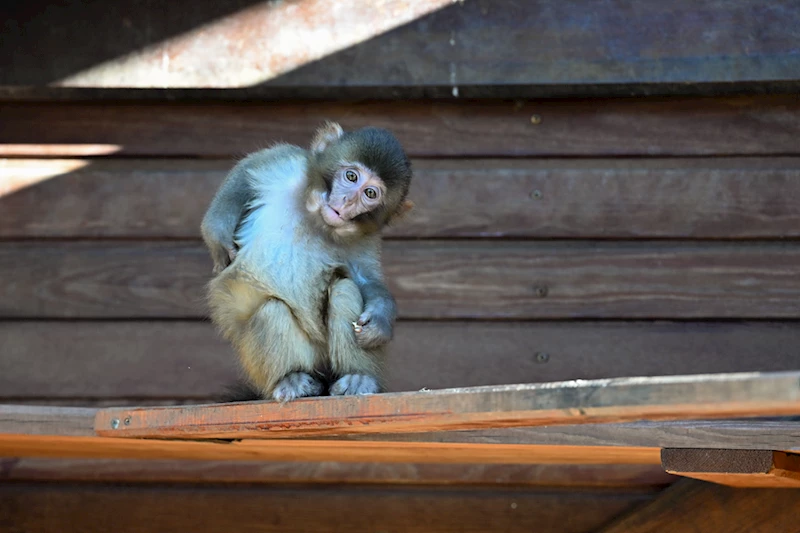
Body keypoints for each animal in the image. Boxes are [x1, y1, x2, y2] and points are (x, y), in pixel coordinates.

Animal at [200, 122, 412, 402]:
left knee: (344, 290)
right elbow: (247, 171)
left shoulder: (364, 240)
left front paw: (379, 319)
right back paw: (291, 378)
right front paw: (218, 230)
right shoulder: (287, 167)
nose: (347, 201)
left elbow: (366, 279)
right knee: (271, 309)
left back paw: (358, 378)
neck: (316, 218)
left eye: (370, 193)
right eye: (351, 177)